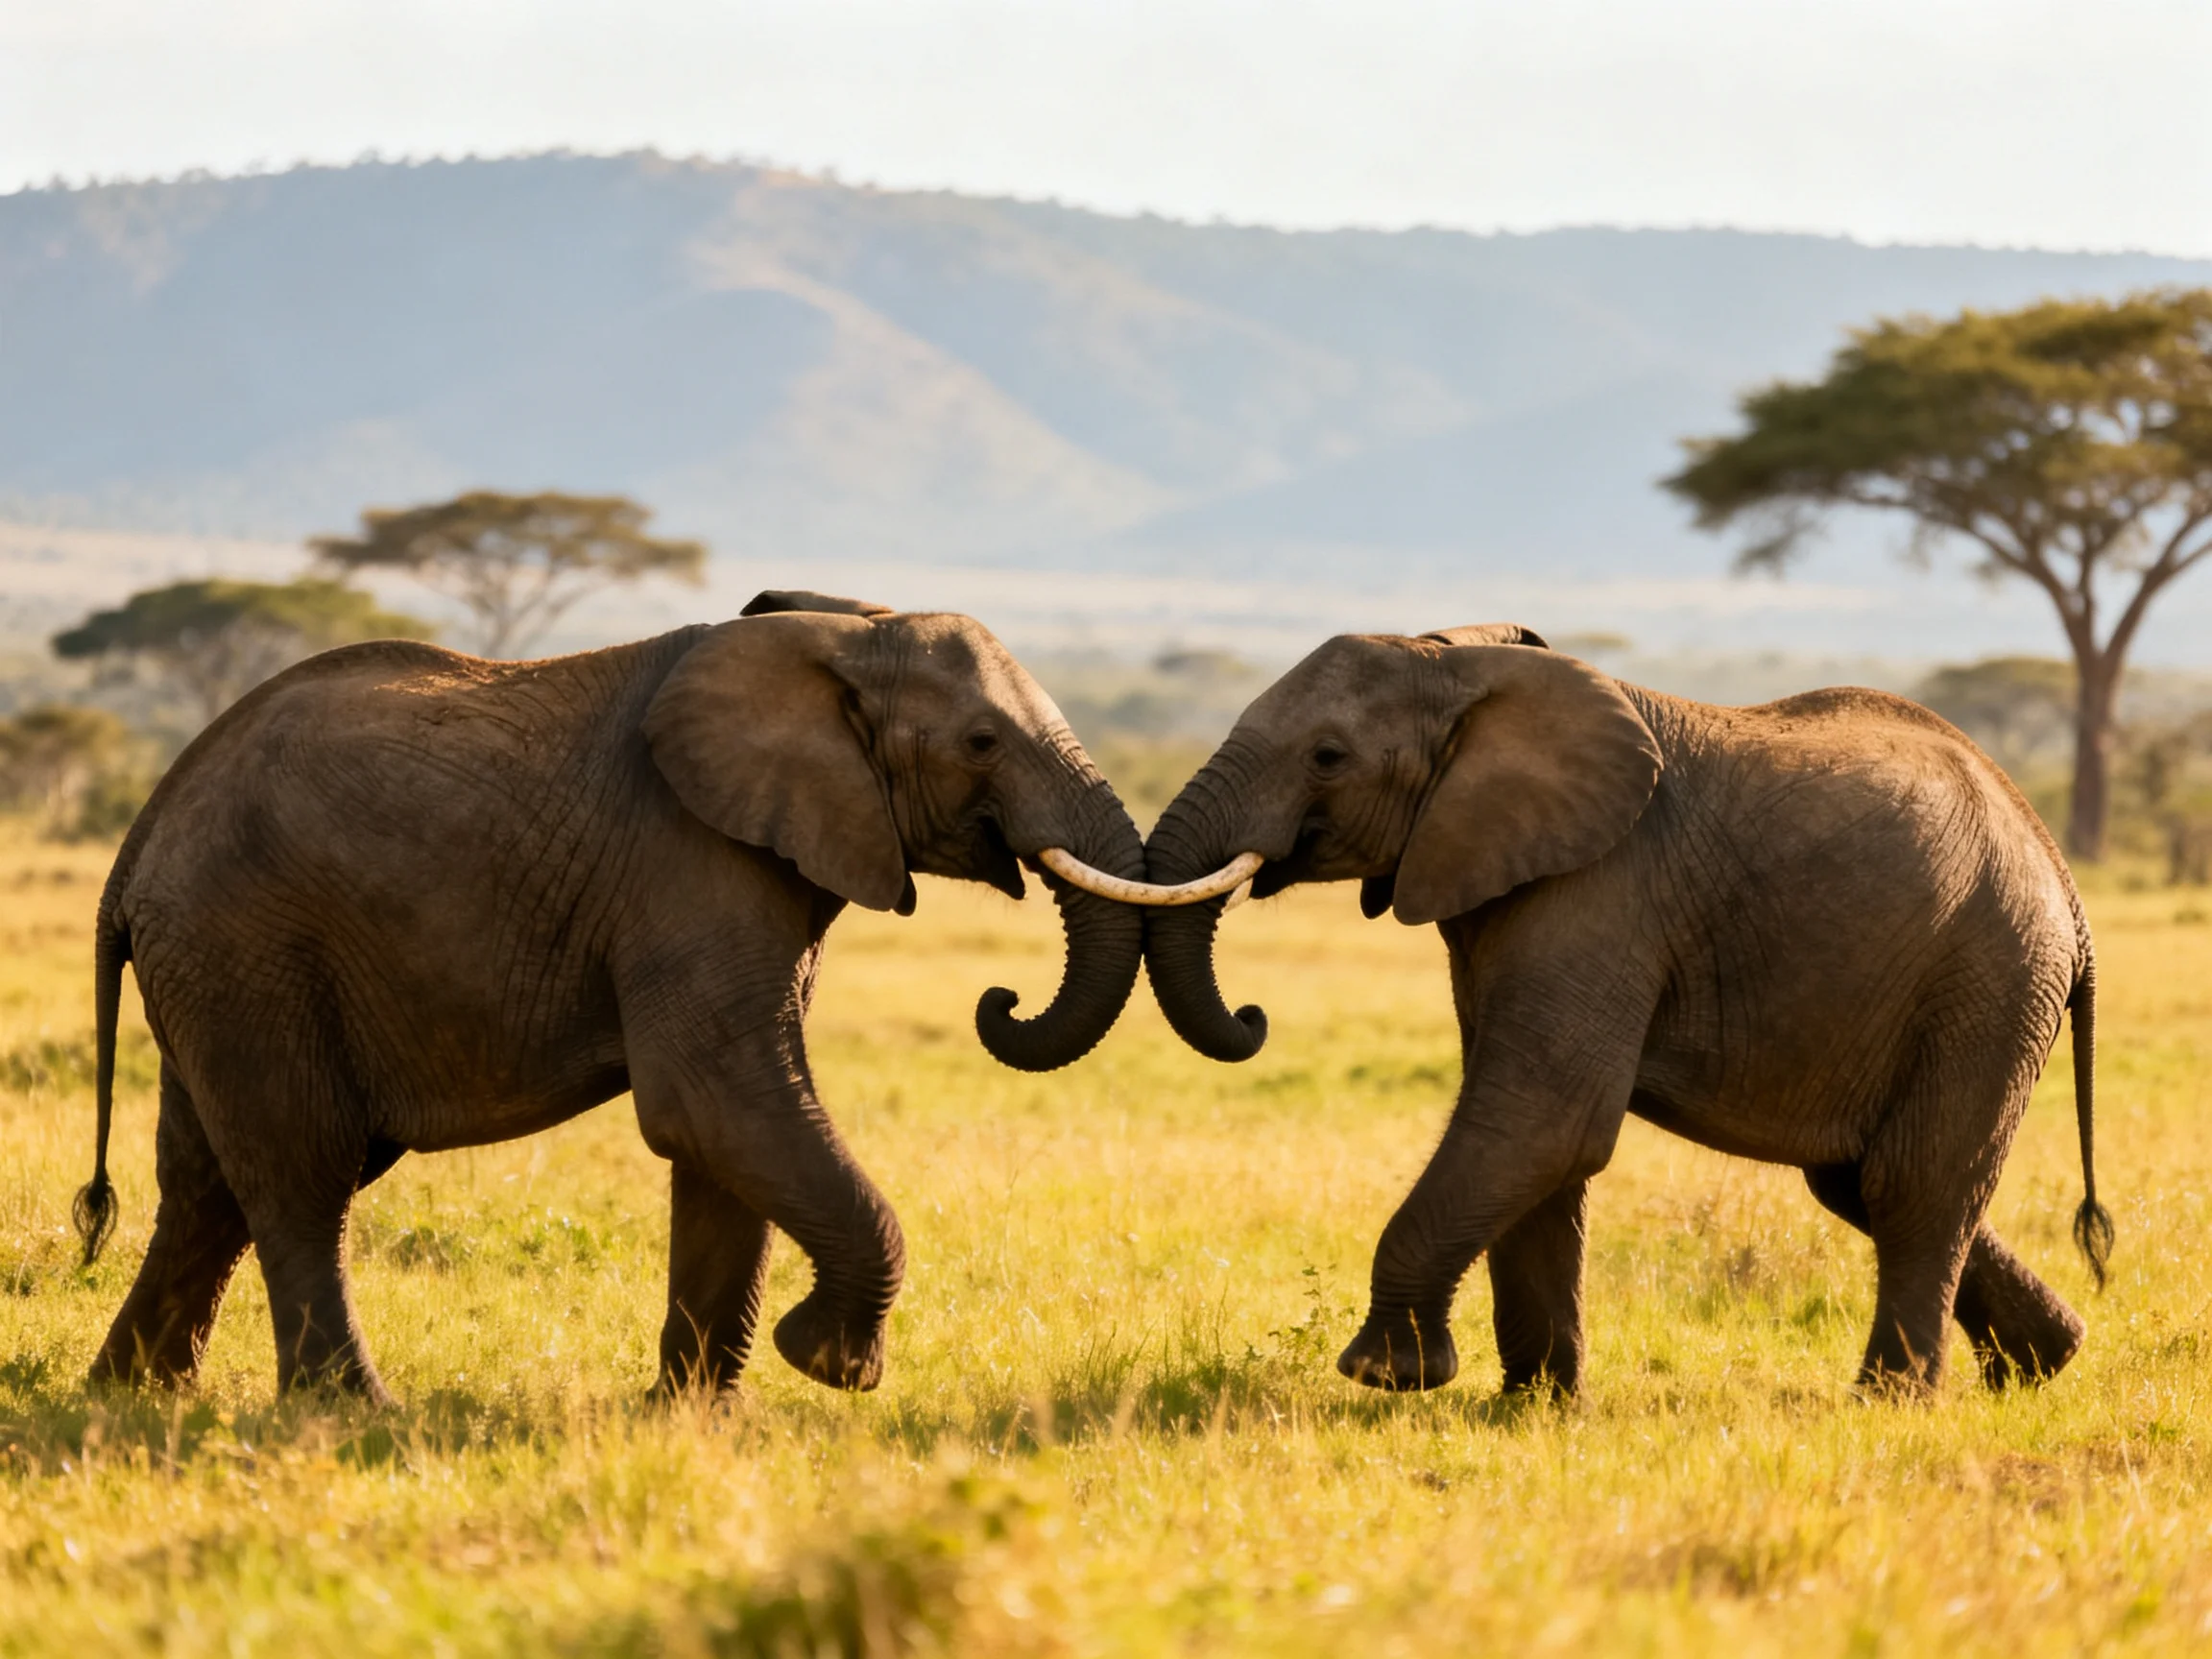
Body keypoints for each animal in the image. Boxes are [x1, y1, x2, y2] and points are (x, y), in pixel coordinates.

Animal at [70, 589, 1149, 1403]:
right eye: (981, 742)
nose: (1000, 1000)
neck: (840, 630)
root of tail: (138, 841)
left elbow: (726, 1133)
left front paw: (697, 1417)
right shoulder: (688, 860)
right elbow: (713, 1102)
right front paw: (828, 1362)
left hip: (216, 962)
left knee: (208, 1182)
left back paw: (129, 1398)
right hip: (246, 943)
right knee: (304, 1170)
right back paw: (352, 1411)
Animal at [1114, 623, 2114, 1398]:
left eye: (1328, 757)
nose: (1253, 1017)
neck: (1464, 660)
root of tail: (2065, 883)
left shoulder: (1604, 889)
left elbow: (1544, 1119)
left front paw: (1389, 1377)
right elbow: (1534, 1139)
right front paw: (1535, 1406)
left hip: (1990, 976)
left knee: (1913, 1183)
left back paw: (1891, 1402)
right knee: (1858, 1179)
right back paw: (2046, 1364)